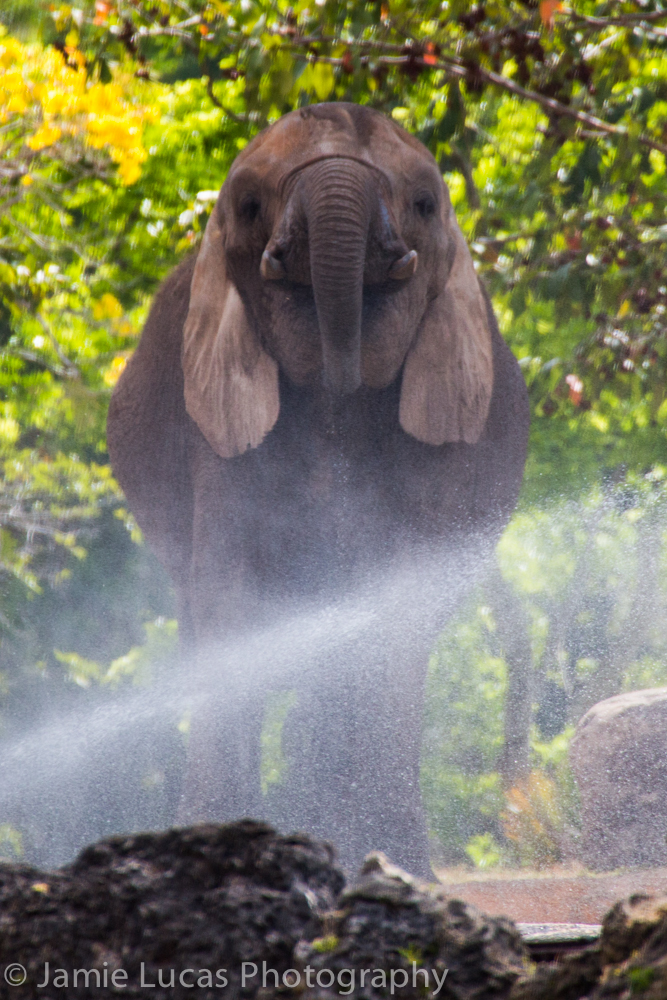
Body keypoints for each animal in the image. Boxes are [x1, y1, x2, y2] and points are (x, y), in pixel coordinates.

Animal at [107, 102, 529, 877]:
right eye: (248, 207)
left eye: (424, 204)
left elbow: (398, 604)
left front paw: (395, 865)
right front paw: (218, 848)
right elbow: (231, 596)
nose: (342, 372)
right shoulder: (213, 422)